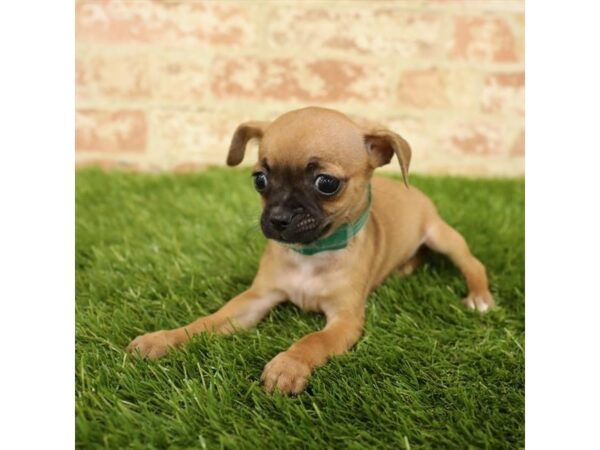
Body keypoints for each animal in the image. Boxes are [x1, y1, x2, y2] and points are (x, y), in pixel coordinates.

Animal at [126, 105, 492, 394]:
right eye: (259, 180)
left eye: (326, 184)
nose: (277, 218)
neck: (312, 254)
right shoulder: (253, 301)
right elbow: (206, 322)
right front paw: (163, 339)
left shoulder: (344, 321)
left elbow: (312, 340)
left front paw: (288, 365)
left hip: (442, 235)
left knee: (473, 263)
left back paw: (480, 297)